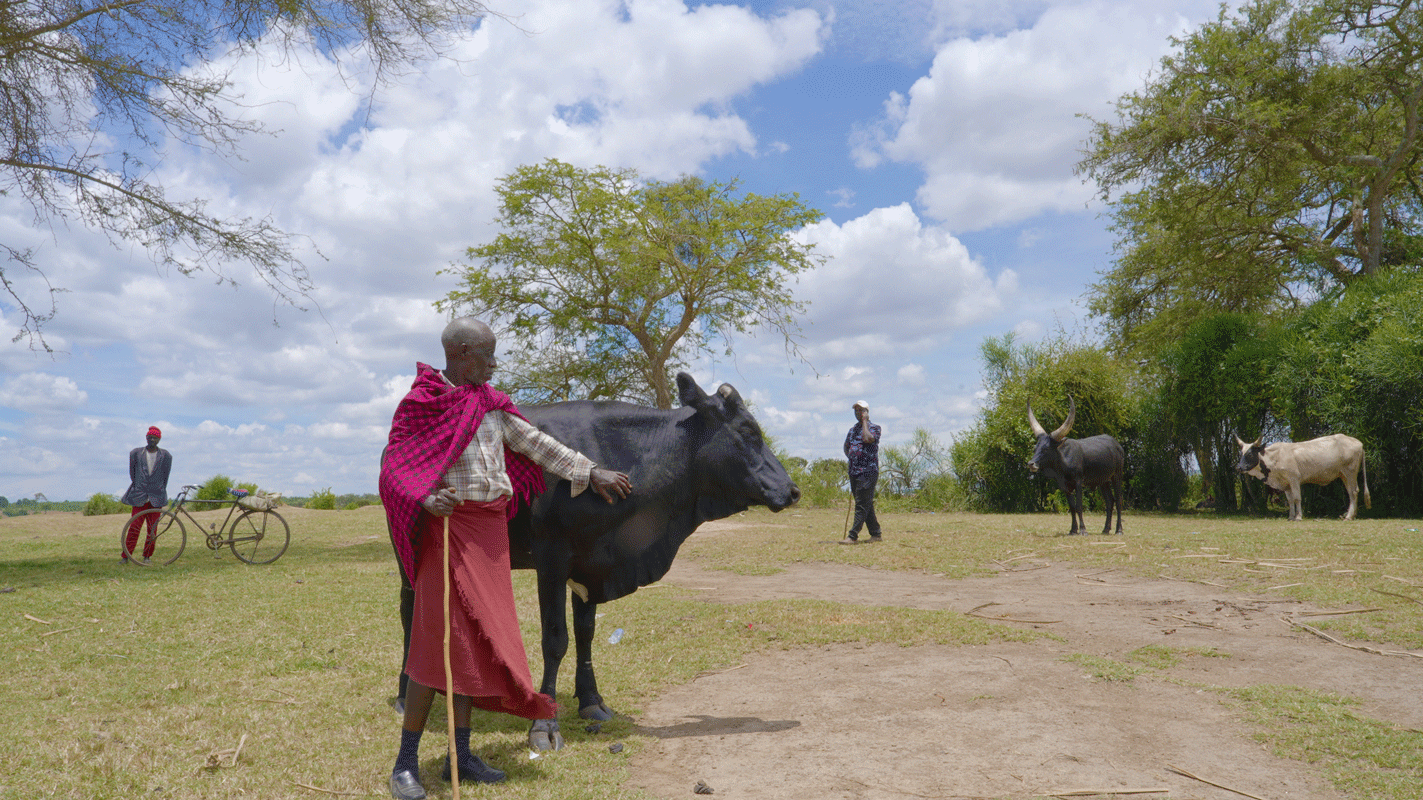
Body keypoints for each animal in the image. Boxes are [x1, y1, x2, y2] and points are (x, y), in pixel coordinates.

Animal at [395, 372, 802, 745]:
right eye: (748, 431)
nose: (793, 490)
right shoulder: (552, 560)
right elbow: (555, 638)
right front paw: (544, 723)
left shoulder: (592, 565)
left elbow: (586, 633)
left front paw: (591, 701)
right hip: (408, 556)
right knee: (410, 613)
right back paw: (405, 692)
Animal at [1024, 392, 1121, 532]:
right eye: (1035, 447)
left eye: (1046, 448)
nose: (1031, 464)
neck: (1062, 463)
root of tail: (1117, 444)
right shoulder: (1065, 486)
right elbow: (1072, 507)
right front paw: (1073, 530)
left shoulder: (1078, 482)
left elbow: (1079, 506)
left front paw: (1083, 530)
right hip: (1104, 481)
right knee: (1110, 501)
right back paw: (1105, 530)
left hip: (1117, 476)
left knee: (1118, 501)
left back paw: (1119, 530)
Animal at [1240, 432, 1371, 520]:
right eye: (1241, 454)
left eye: (1250, 454)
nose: (1239, 467)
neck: (1276, 456)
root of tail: (1359, 443)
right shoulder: (1286, 484)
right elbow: (1290, 500)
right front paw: (1291, 517)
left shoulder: (1294, 479)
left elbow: (1297, 498)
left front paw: (1298, 517)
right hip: (1343, 475)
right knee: (1350, 492)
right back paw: (1352, 515)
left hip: (1350, 473)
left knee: (1353, 492)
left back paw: (1349, 516)